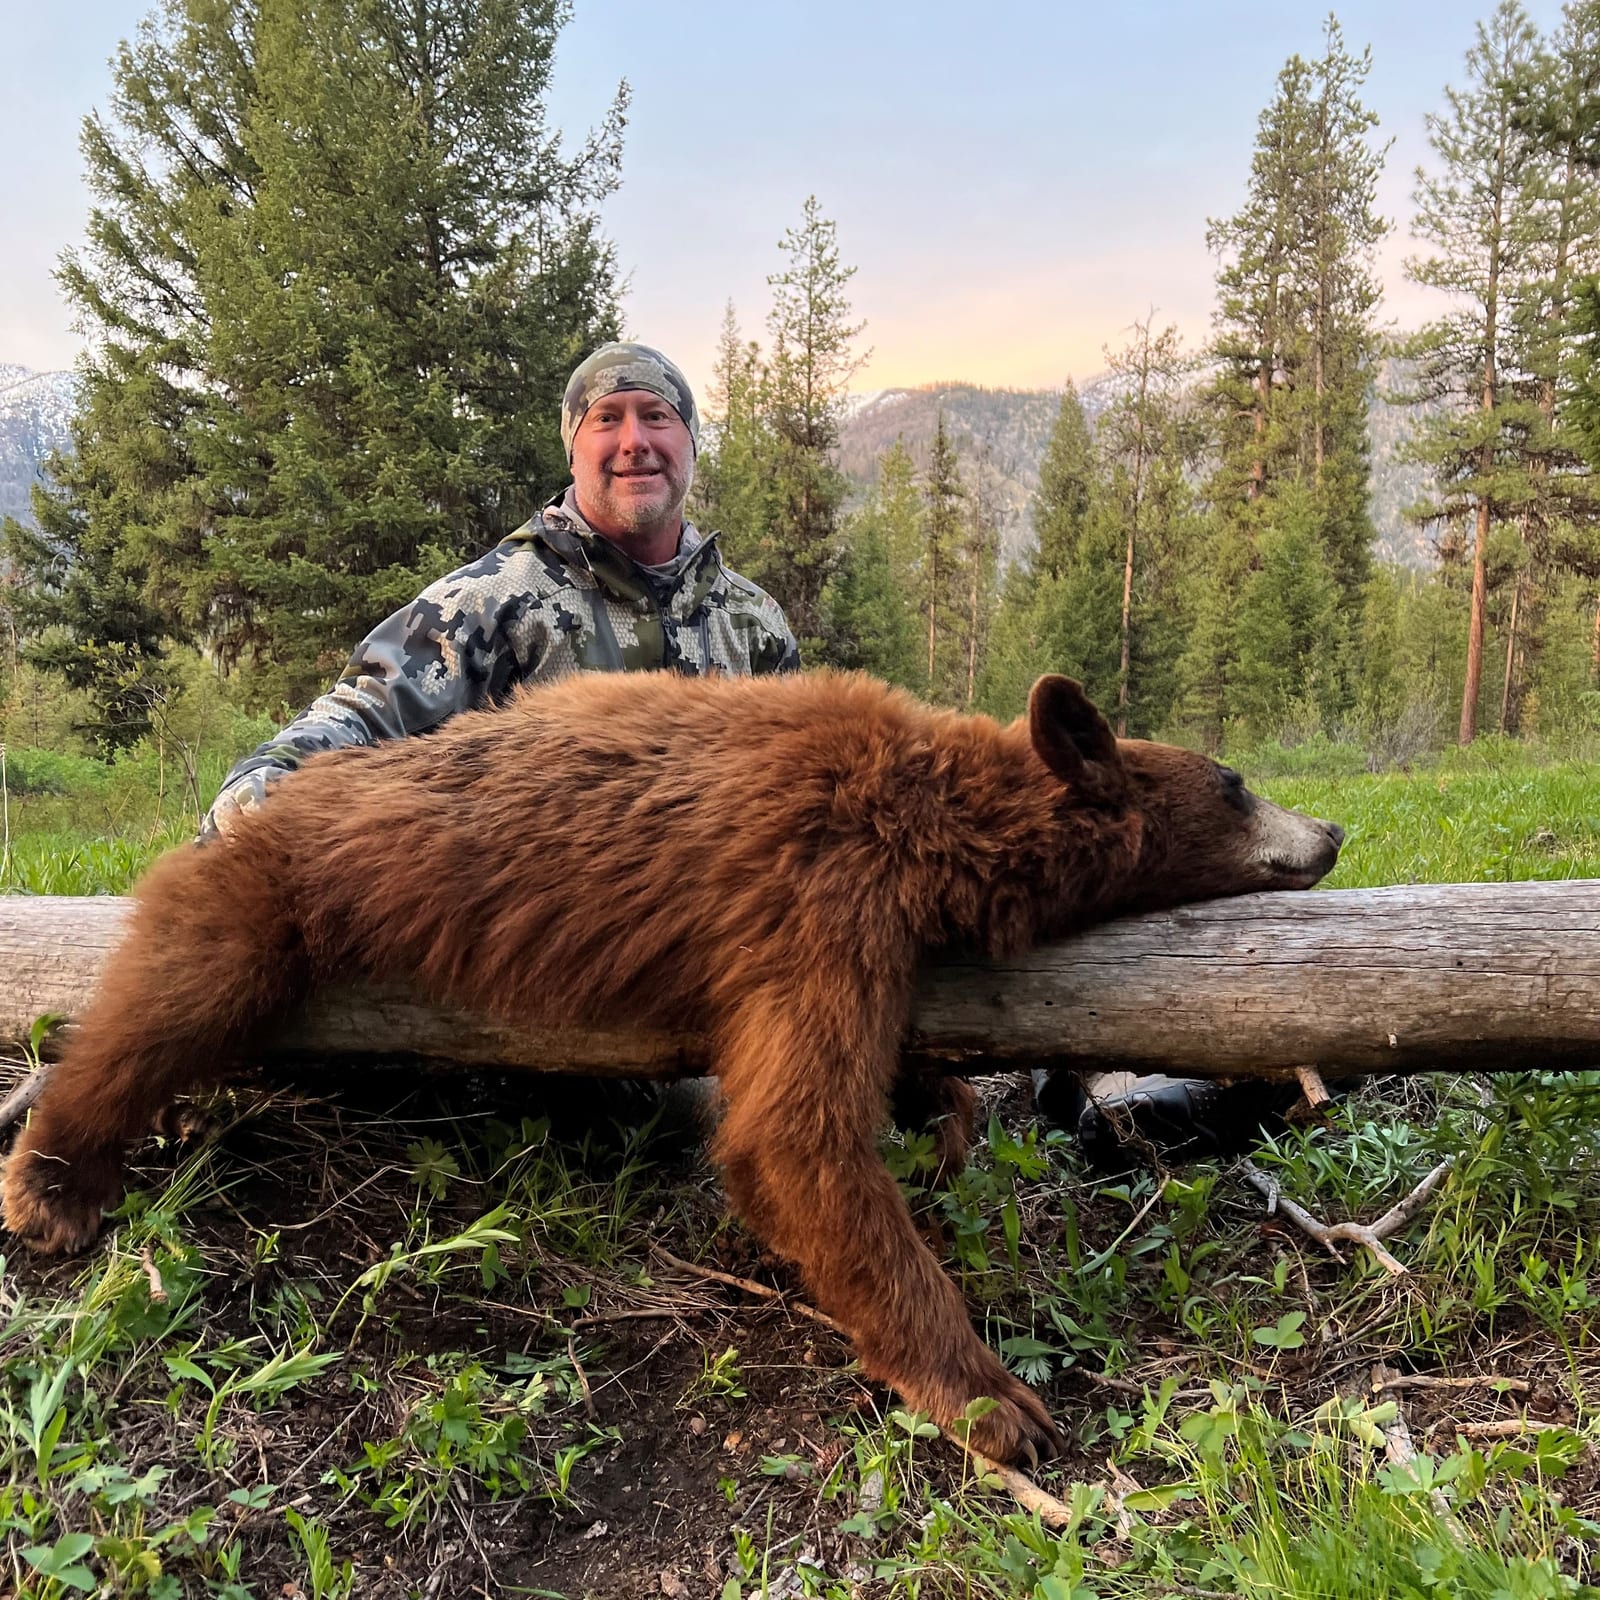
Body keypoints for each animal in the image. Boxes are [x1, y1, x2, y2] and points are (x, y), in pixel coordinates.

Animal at [2, 670, 1342, 1465]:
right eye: (1236, 783)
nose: (1330, 830)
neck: (935, 805)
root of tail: (275, 794)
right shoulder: (821, 890)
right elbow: (791, 1138)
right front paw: (988, 1396)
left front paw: (949, 1111)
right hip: (278, 892)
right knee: (167, 999)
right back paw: (53, 1177)